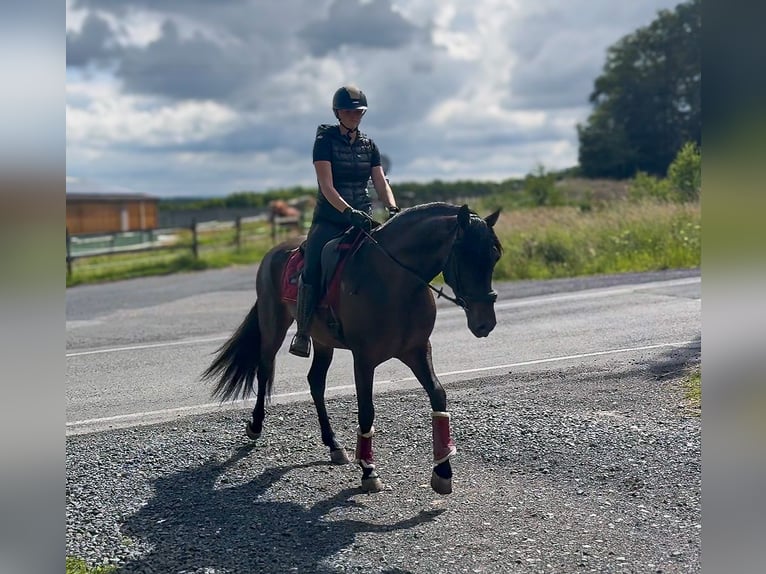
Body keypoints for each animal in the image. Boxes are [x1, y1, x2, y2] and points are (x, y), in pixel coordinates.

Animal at [202, 202, 502, 494]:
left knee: (315, 382)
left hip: (322, 341)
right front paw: (369, 471)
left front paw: (442, 472)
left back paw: (334, 445)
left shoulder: (417, 350)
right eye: (465, 255)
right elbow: (366, 410)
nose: (485, 323)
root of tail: (274, 251)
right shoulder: (364, 359)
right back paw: (255, 426)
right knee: (264, 370)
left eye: (494, 257)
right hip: (273, 323)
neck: (395, 281)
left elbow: (438, 396)